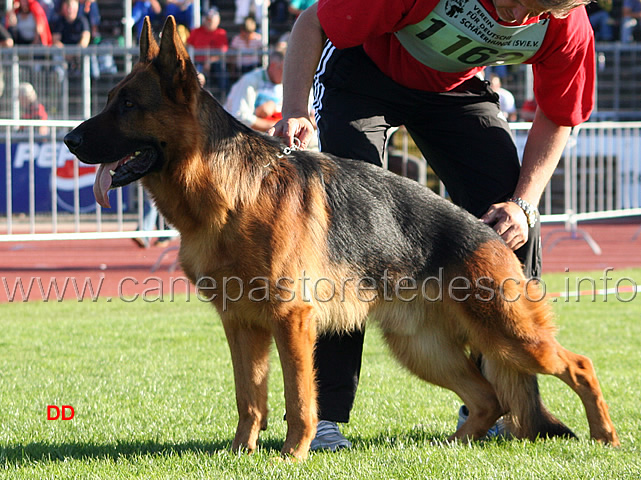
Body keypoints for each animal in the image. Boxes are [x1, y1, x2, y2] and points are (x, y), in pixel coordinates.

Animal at [62, 16, 616, 462]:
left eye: (127, 104)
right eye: (109, 100)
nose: (68, 140)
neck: (229, 192)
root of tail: (490, 232)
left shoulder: (291, 321)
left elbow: (299, 399)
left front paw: (292, 455)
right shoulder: (241, 325)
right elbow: (250, 399)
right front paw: (240, 455)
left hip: (511, 336)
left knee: (579, 366)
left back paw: (605, 435)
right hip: (422, 348)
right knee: (489, 399)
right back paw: (452, 447)